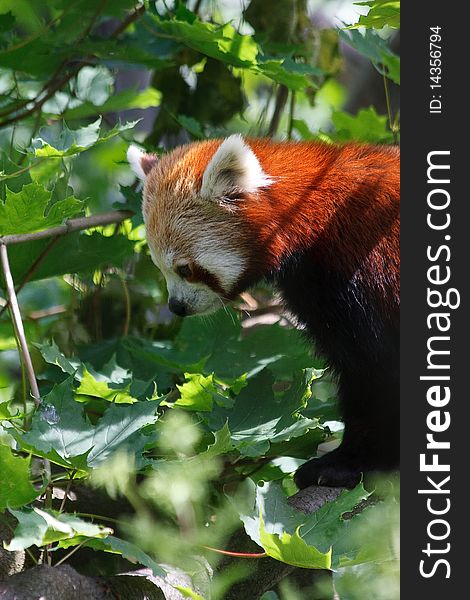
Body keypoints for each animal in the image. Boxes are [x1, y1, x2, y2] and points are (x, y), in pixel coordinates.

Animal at [129, 136, 400, 488]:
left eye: (185, 269)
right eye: (160, 268)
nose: (177, 307)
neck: (315, 213)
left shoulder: (361, 272)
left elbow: (373, 370)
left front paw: (352, 463)